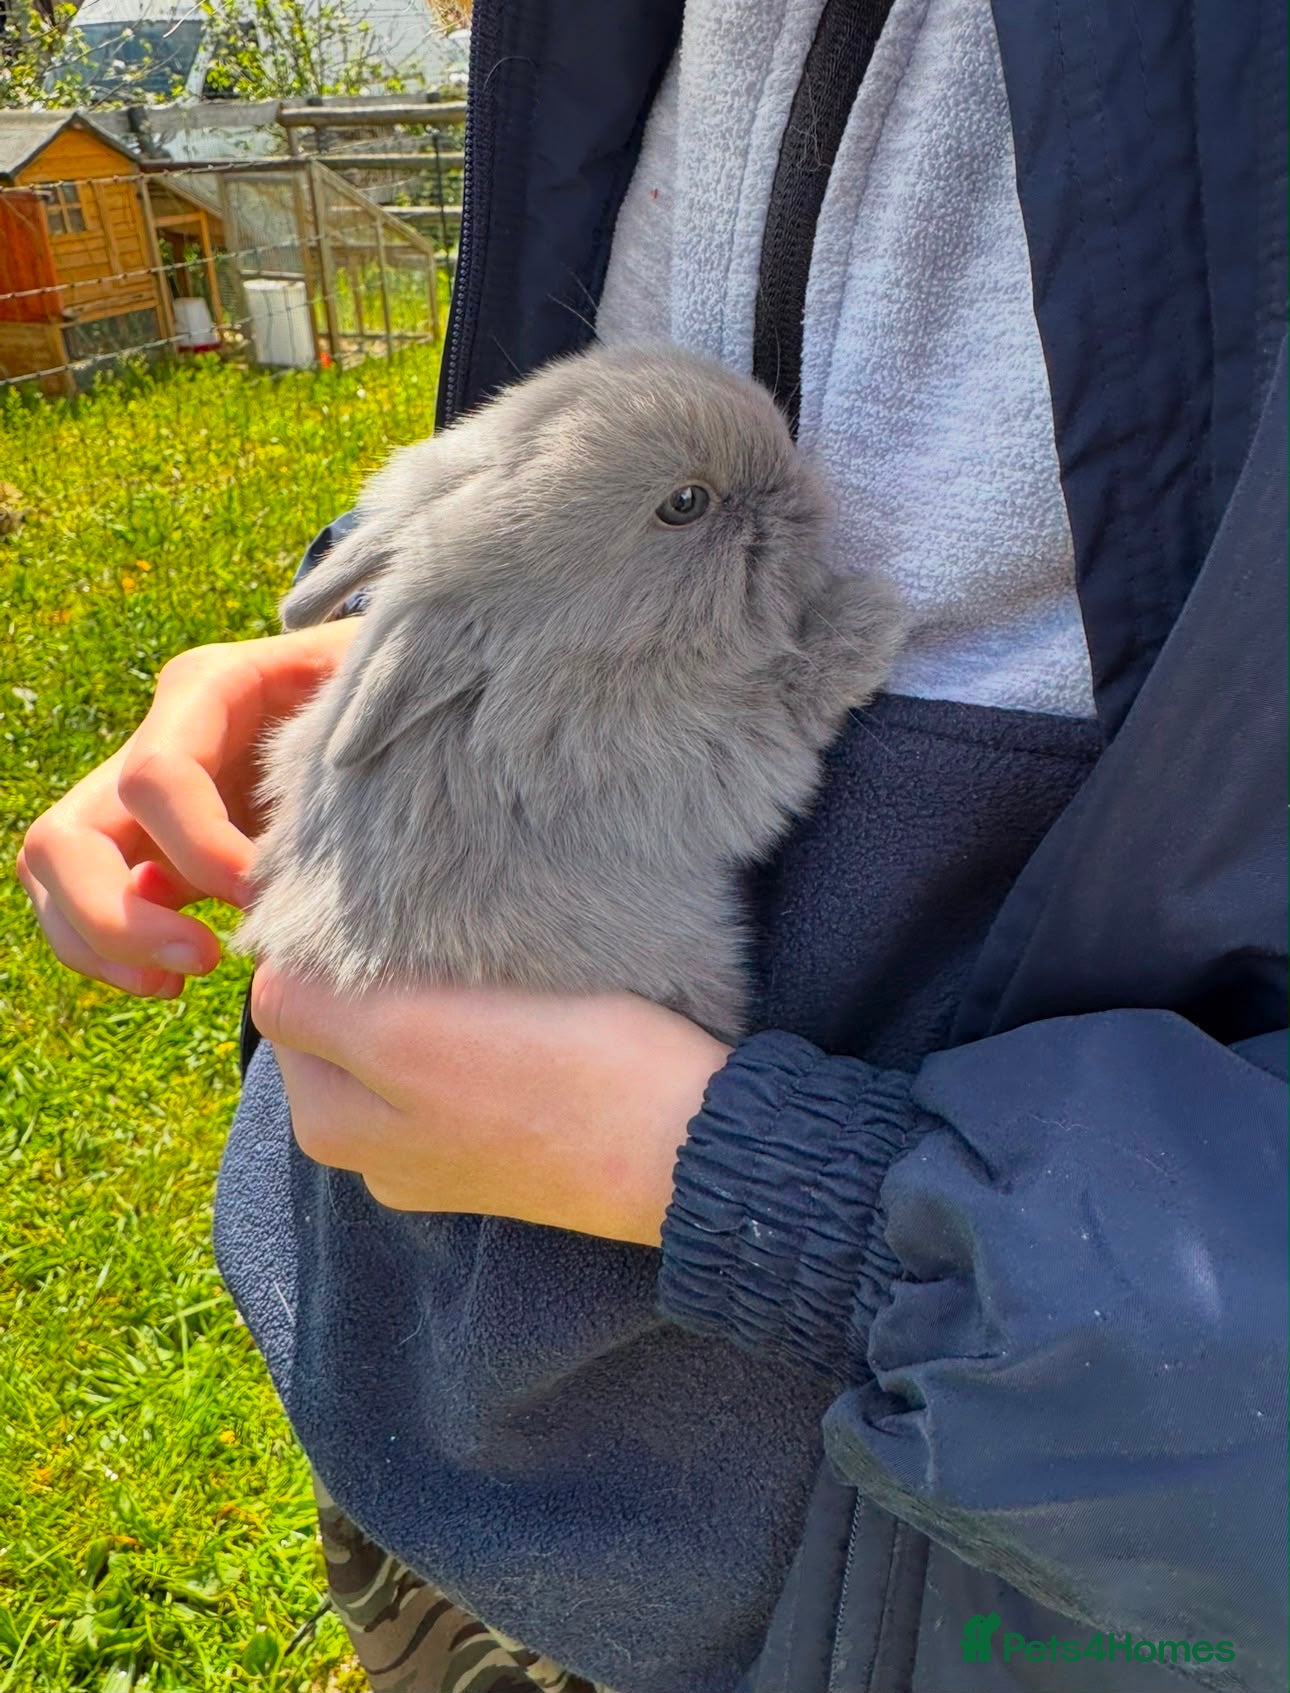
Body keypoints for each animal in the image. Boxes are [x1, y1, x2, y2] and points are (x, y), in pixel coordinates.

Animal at [234, 345, 904, 1043]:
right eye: (684, 502)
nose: (799, 487)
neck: (576, 651)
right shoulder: (697, 756)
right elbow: (793, 699)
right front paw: (872, 612)